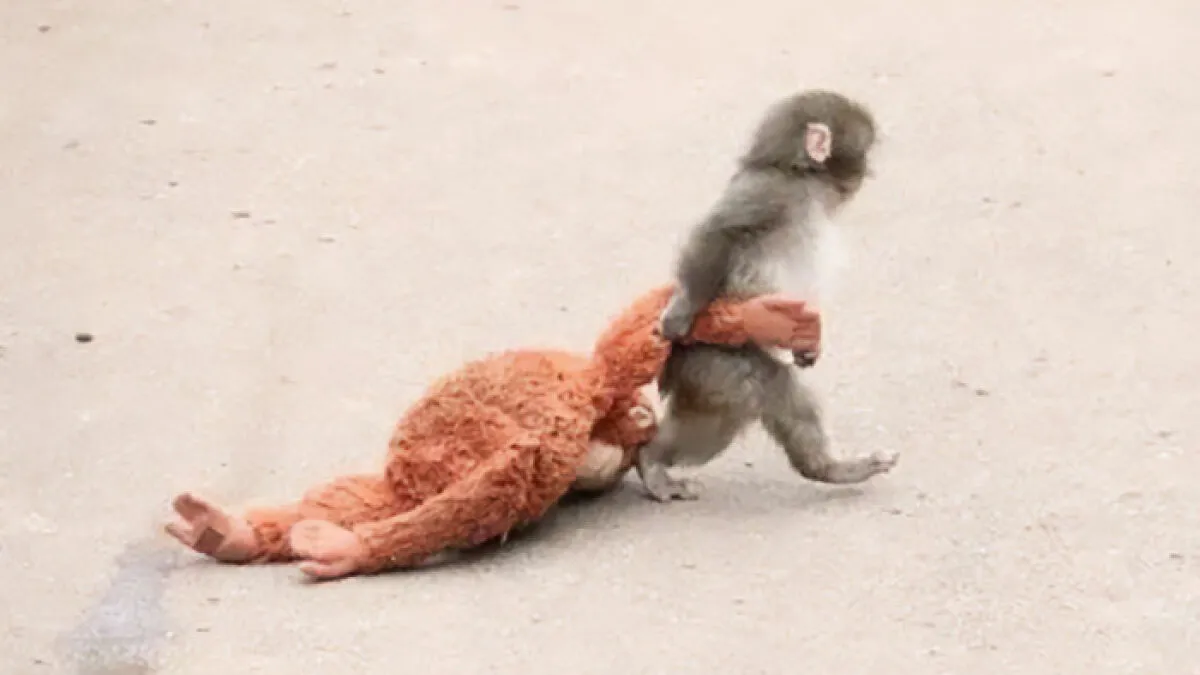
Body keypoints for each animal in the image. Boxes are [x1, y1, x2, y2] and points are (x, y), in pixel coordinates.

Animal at [636, 89, 899, 502]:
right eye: (865, 150)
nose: (866, 172)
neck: (801, 179)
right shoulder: (769, 193)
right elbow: (719, 232)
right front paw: (681, 311)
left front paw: (808, 347)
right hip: (714, 361)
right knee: (754, 393)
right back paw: (651, 461)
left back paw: (830, 469)